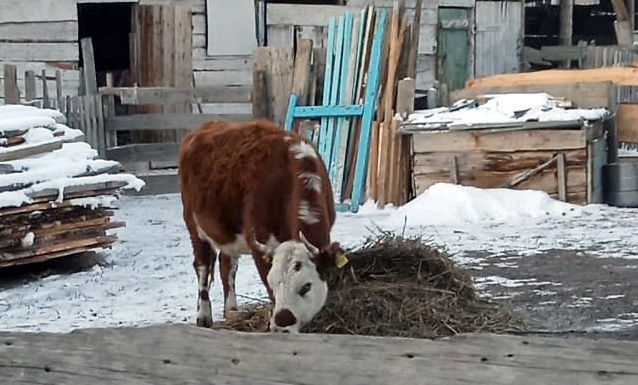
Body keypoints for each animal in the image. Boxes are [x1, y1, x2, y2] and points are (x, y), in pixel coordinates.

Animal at [178, 118, 348, 332]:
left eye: (306, 286)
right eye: (273, 283)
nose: (282, 322)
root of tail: (202, 129)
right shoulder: (259, 245)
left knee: (227, 266)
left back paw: (232, 311)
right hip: (193, 223)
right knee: (202, 266)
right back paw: (203, 316)